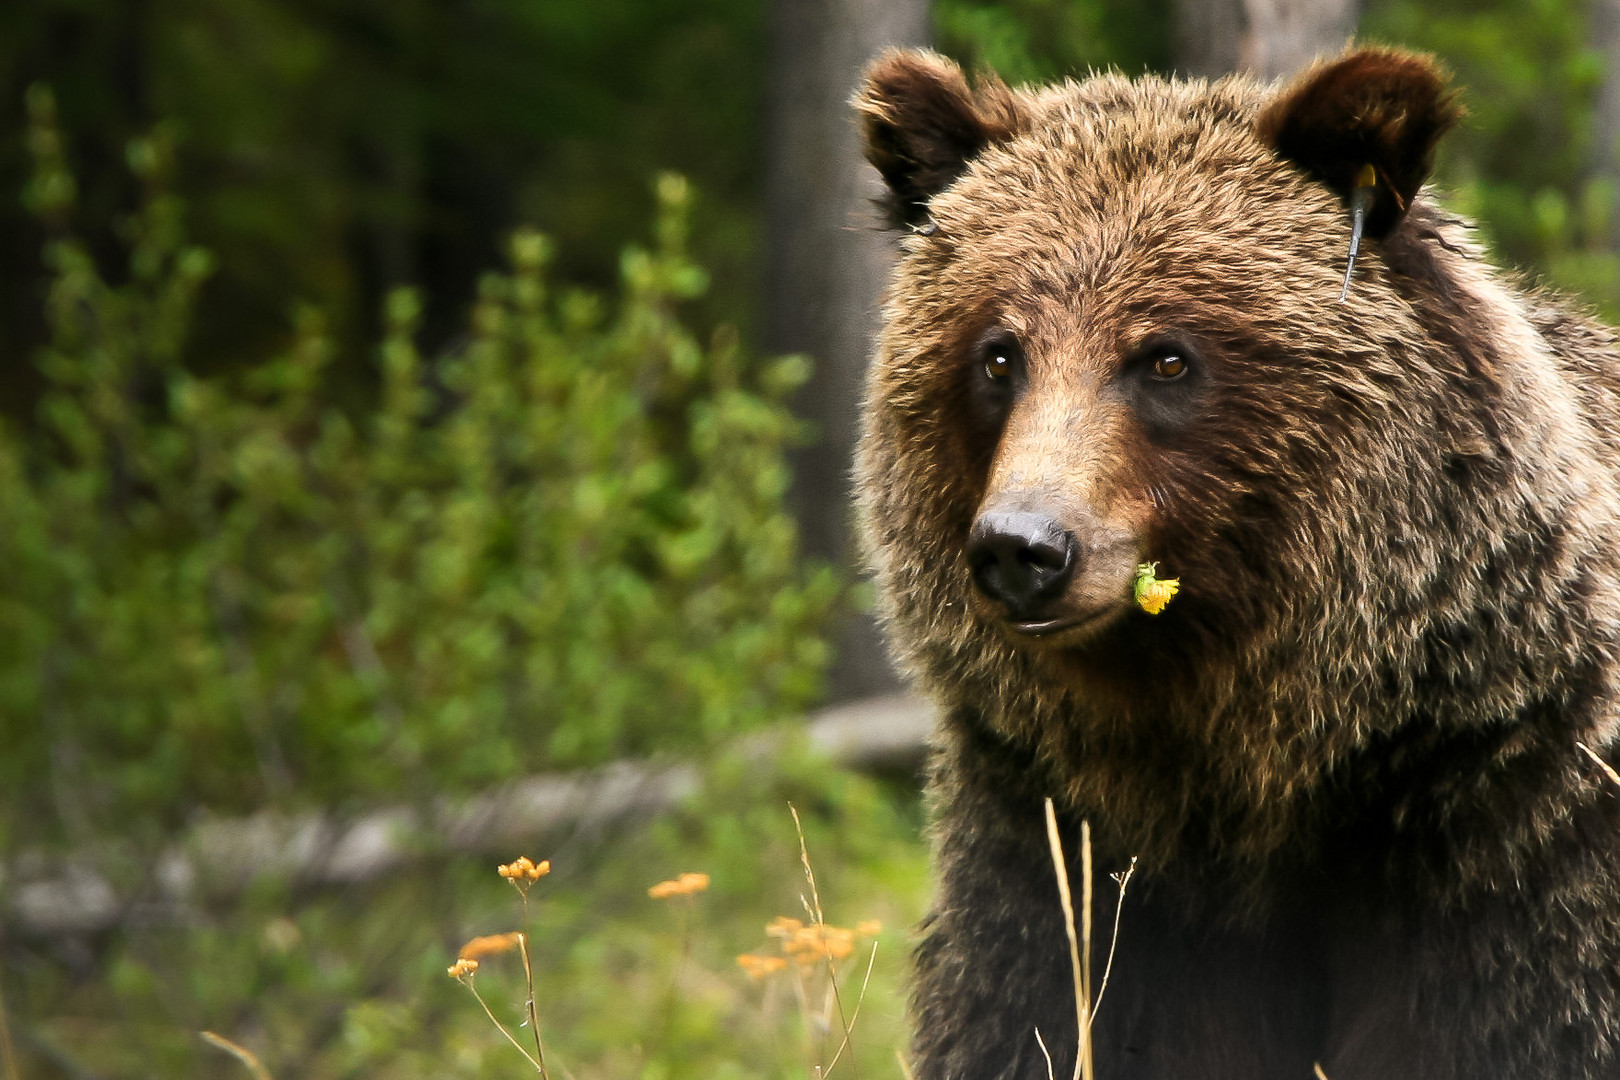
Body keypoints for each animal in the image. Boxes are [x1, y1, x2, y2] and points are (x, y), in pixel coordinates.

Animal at [861, 44, 1620, 1080]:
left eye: (1165, 358)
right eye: (998, 355)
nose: (1025, 548)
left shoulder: (1514, 842)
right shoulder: (1061, 856)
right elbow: (1034, 1015)